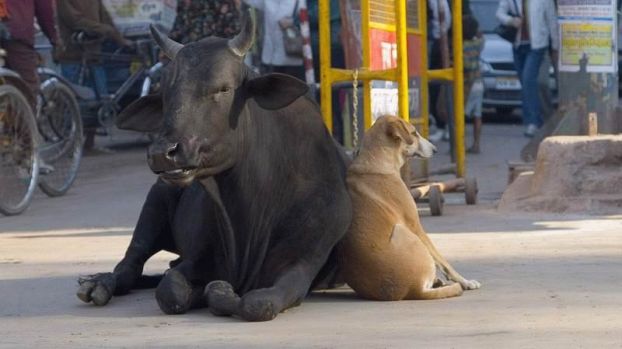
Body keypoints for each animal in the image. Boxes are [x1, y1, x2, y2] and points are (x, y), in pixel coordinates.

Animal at [75, 10, 354, 320]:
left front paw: (220, 294)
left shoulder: (302, 264)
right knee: (131, 264)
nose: (163, 153)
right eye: (165, 94)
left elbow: (257, 303)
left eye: (223, 88)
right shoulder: (197, 258)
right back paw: (98, 284)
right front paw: (208, 292)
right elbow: (171, 290)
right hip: (155, 201)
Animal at [342, 115, 482, 300]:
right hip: (403, 231)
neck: (377, 162)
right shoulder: (415, 225)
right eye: (414, 133)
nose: (435, 149)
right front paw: (465, 282)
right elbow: (442, 260)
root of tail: (413, 290)